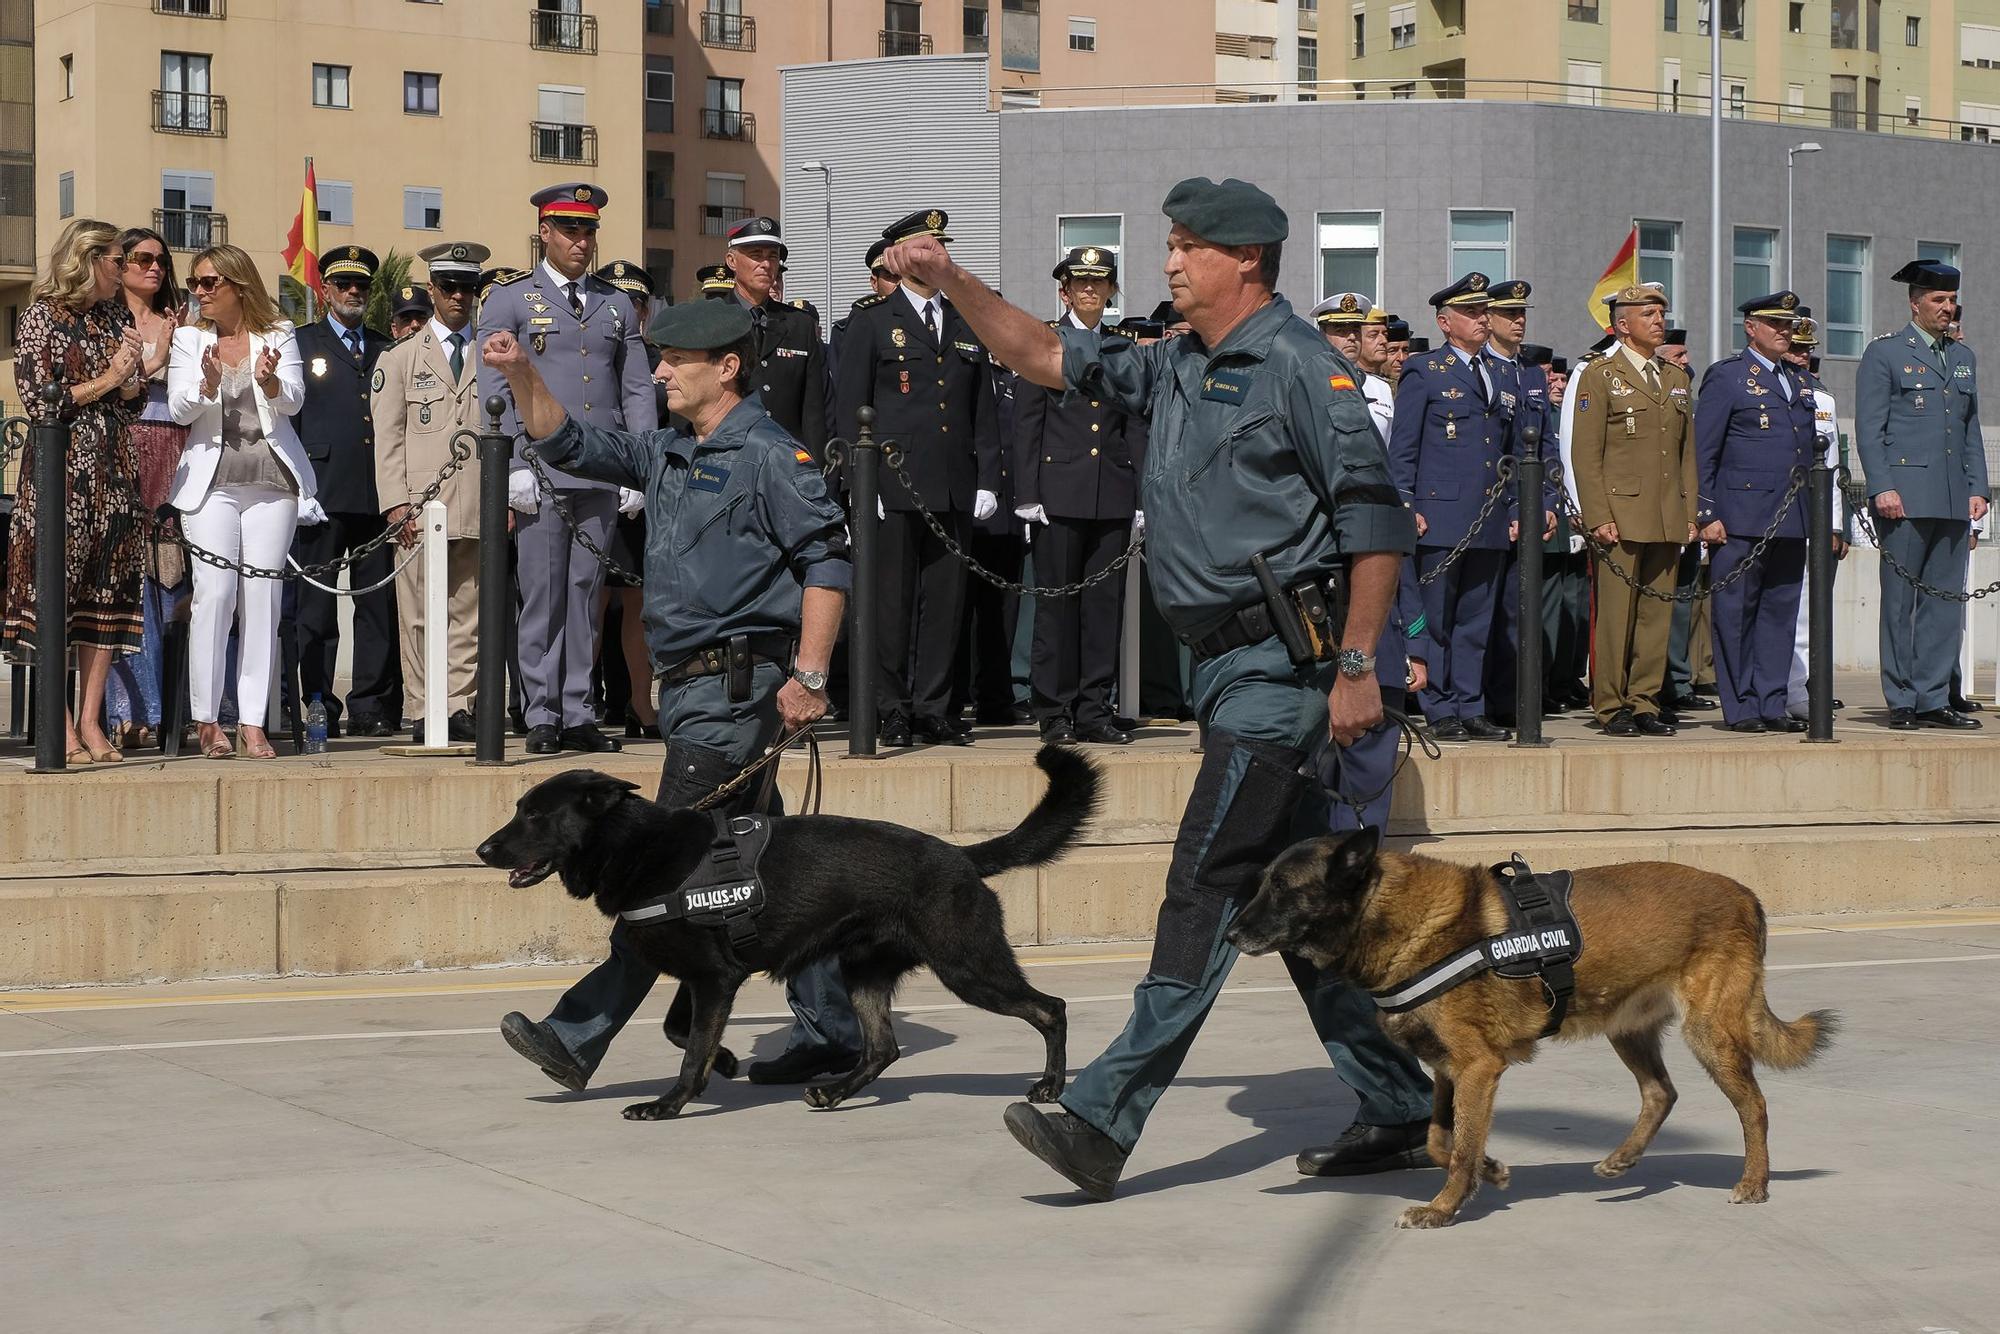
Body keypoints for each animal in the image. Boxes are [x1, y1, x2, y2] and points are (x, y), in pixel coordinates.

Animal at [476, 748, 1104, 1120]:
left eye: (535, 816)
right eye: (518, 809)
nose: (482, 850)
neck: (639, 848)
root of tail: (961, 857)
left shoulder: (715, 978)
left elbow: (691, 1047)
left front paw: (673, 1101)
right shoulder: (707, 978)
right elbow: (683, 1032)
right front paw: (726, 1062)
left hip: (967, 966)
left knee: (1050, 1008)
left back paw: (1050, 1087)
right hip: (864, 972)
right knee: (883, 1047)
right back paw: (833, 1092)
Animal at [1224, 836, 1832, 1232]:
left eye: (1282, 888)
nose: (1228, 933)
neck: (1397, 918)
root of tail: (1746, 895)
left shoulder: (1477, 1068)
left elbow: (1459, 1145)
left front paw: (1442, 1210)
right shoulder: (1450, 1070)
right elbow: (1442, 1140)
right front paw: (1488, 1171)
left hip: (1709, 1034)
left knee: (1753, 1106)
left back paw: (1754, 1183)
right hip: (1627, 1029)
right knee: (1661, 1092)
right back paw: (1623, 1161)